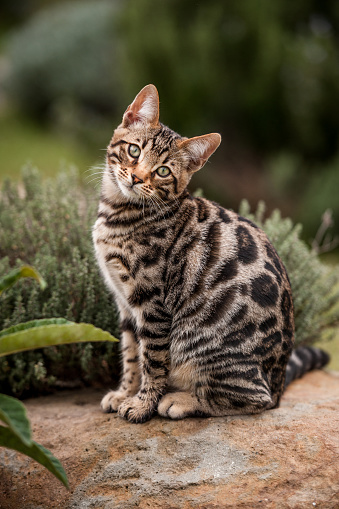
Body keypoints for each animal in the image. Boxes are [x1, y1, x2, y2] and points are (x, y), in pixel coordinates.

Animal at [93, 85, 330, 422]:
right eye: (134, 151)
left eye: (162, 171)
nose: (137, 178)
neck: (119, 213)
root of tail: (279, 383)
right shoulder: (125, 304)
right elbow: (130, 354)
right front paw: (125, 392)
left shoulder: (152, 303)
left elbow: (151, 360)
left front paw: (142, 404)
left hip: (204, 347)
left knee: (254, 400)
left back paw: (181, 400)